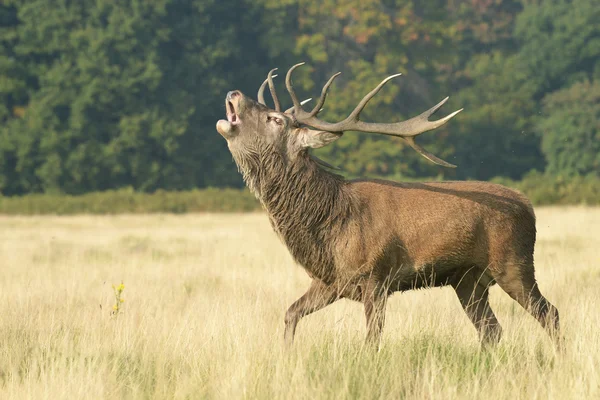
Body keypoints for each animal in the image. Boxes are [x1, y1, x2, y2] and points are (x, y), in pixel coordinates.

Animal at [214, 62, 556, 346]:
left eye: (274, 119)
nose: (234, 92)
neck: (328, 226)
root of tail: (528, 205)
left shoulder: (376, 278)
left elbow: (371, 342)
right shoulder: (329, 282)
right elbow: (290, 314)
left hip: (514, 263)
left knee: (549, 314)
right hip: (467, 279)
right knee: (491, 330)